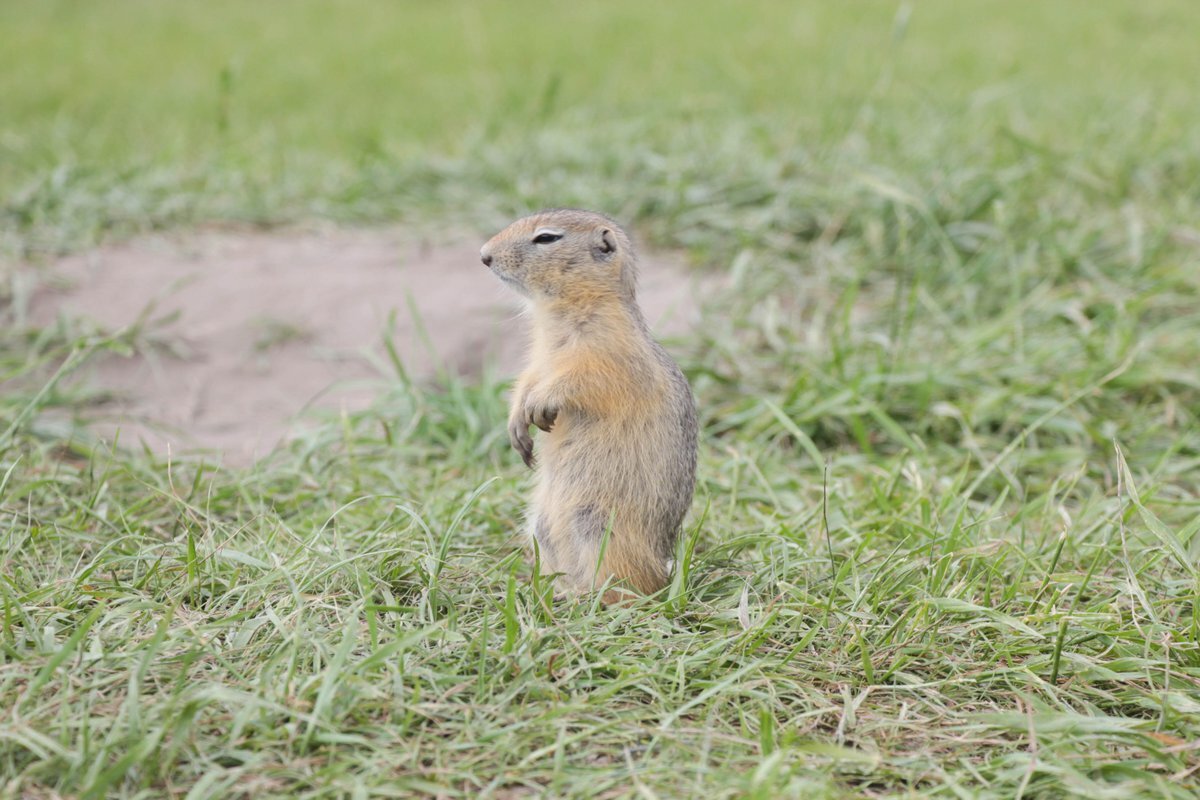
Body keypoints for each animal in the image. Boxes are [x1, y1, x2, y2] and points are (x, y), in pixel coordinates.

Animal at [480, 209, 700, 604]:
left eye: (547, 238)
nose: (483, 255)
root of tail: (662, 568)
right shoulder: (539, 357)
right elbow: (528, 378)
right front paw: (518, 424)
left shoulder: (608, 351)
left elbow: (584, 380)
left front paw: (540, 404)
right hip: (543, 528)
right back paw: (558, 589)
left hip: (598, 527)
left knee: (632, 588)